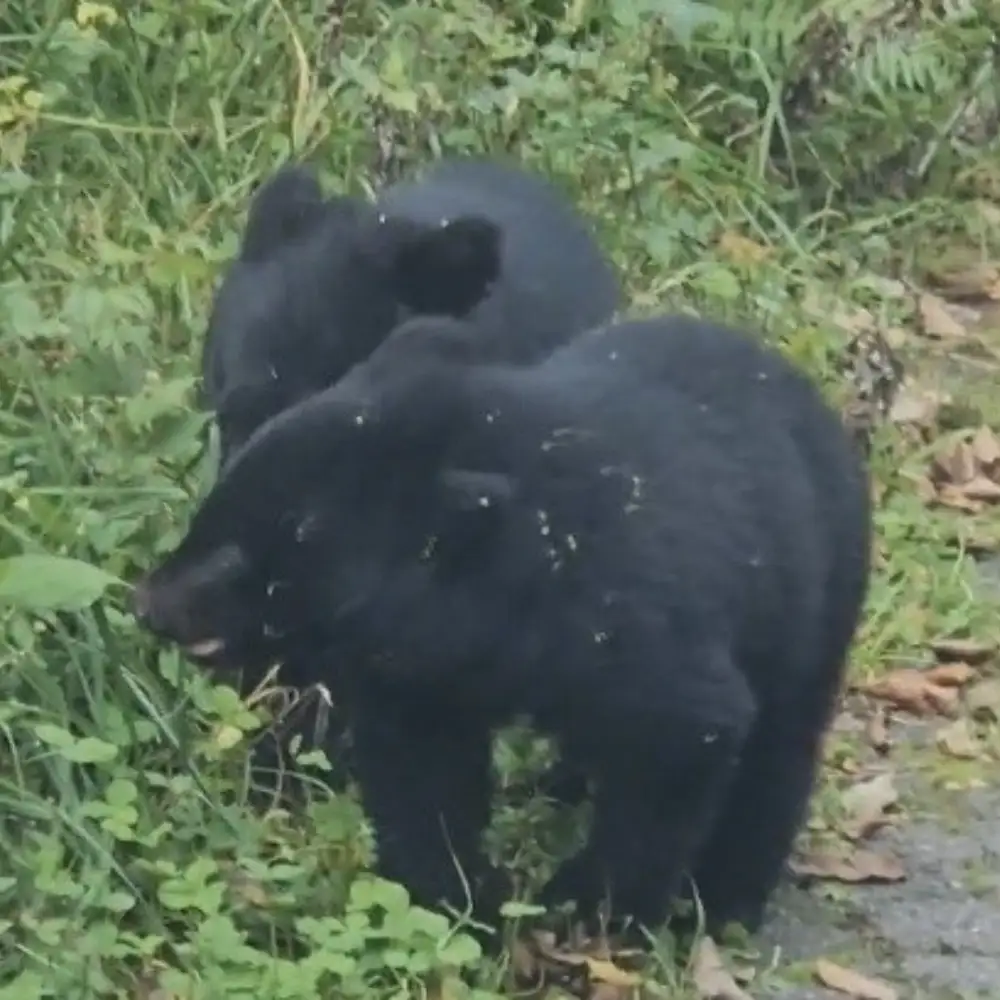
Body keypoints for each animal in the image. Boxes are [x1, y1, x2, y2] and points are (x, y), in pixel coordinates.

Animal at [132, 311, 872, 941]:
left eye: (239, 556)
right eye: (213, 507)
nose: (149, 602)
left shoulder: (620, 614)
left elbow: (686, 735)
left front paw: (589, 906)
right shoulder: (418, 671)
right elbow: (422, 772)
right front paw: (460, 900)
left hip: (813, 597)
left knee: (779, 744)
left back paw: (724, 901)